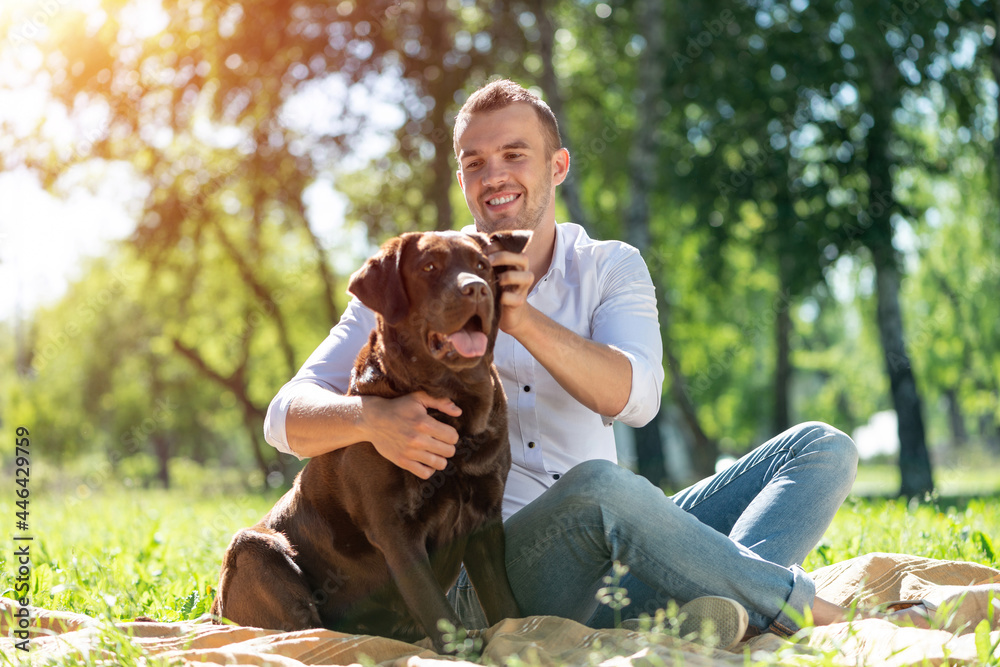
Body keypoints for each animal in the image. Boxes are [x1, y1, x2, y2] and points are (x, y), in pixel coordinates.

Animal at [212, 228, 532, 652]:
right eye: (429, 267)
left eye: (481, 265)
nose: (476, 289)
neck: (456, 401)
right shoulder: (395, 529)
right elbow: (438, 609)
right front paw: (463, 651)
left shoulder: (485, 517)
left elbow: (505, 603)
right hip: (253, 549)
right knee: (303, 631)